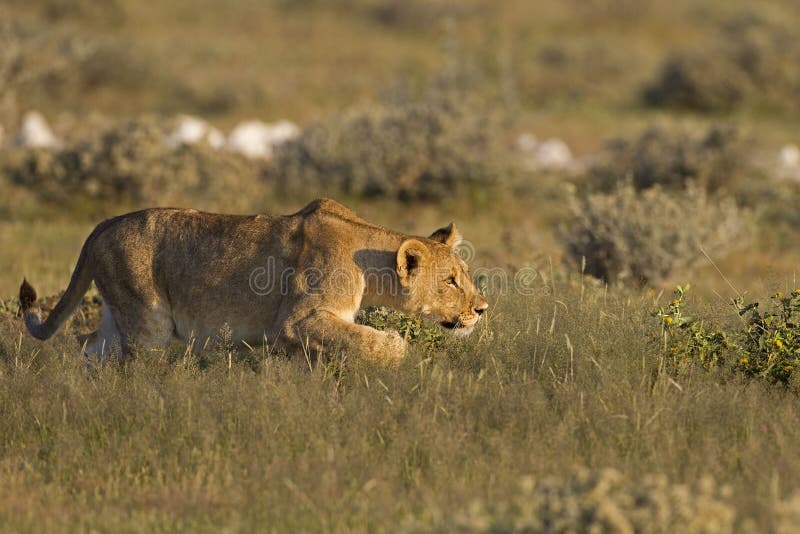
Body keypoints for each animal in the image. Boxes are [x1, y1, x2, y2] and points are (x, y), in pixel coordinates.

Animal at [19, 198, 488, 363]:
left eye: (465, 277)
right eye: (450, 281)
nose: (482, 309)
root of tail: (103, 224)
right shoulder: (297, 319)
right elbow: (370, 340)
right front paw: (401, 354)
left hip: (115, 319)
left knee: (91, 352)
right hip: (148, 321)